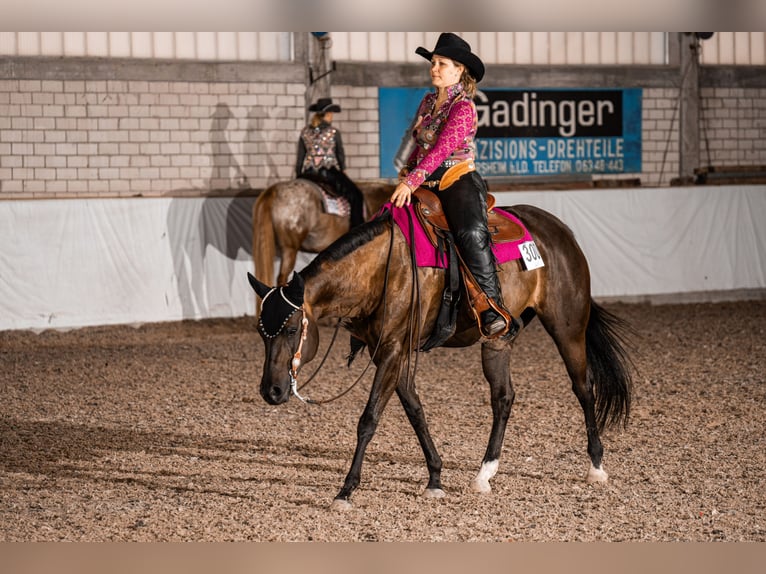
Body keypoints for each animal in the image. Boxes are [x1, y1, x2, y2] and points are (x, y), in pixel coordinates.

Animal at [248, 205, 636, 510]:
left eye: (292, 329)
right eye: (260, 331)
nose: (271, 391)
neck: (381, 269)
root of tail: (560, 230)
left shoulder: (392, 349)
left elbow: (369, 418)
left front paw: (346, 490)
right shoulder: (391, 353)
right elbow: (416, 411)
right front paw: (435, 478)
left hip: (567, 328)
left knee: (583, 388)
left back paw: (596, 467)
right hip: (498, 340)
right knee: (503, 398)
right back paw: (484, 474)